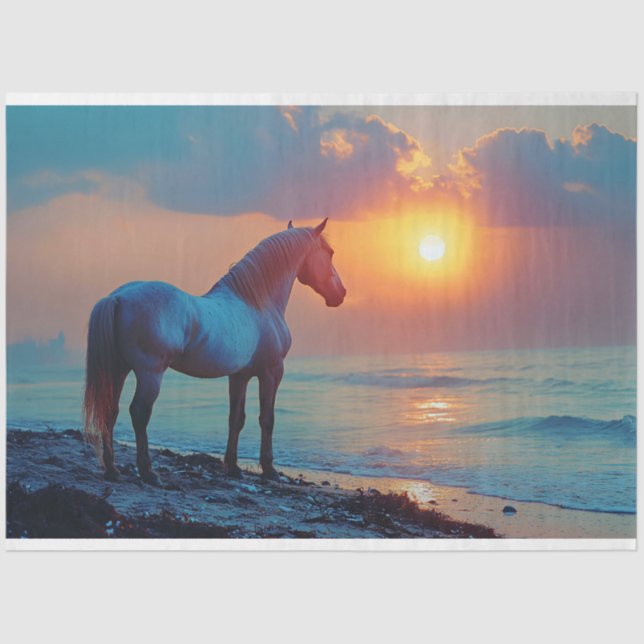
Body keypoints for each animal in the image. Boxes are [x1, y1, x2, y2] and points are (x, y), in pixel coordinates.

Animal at [83, 218, 346, 484]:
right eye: (330, 253)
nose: (340, 294)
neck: (258, 304)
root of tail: (118, 297)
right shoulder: (271, 372)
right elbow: (267, 419)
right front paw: (269, 470)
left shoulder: (239, 376)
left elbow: (236, 419)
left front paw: (232, 466)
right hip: (149, 374)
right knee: (139, 413)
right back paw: (148, 472)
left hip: (119, 369)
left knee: (110, 411)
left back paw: (112, 470)